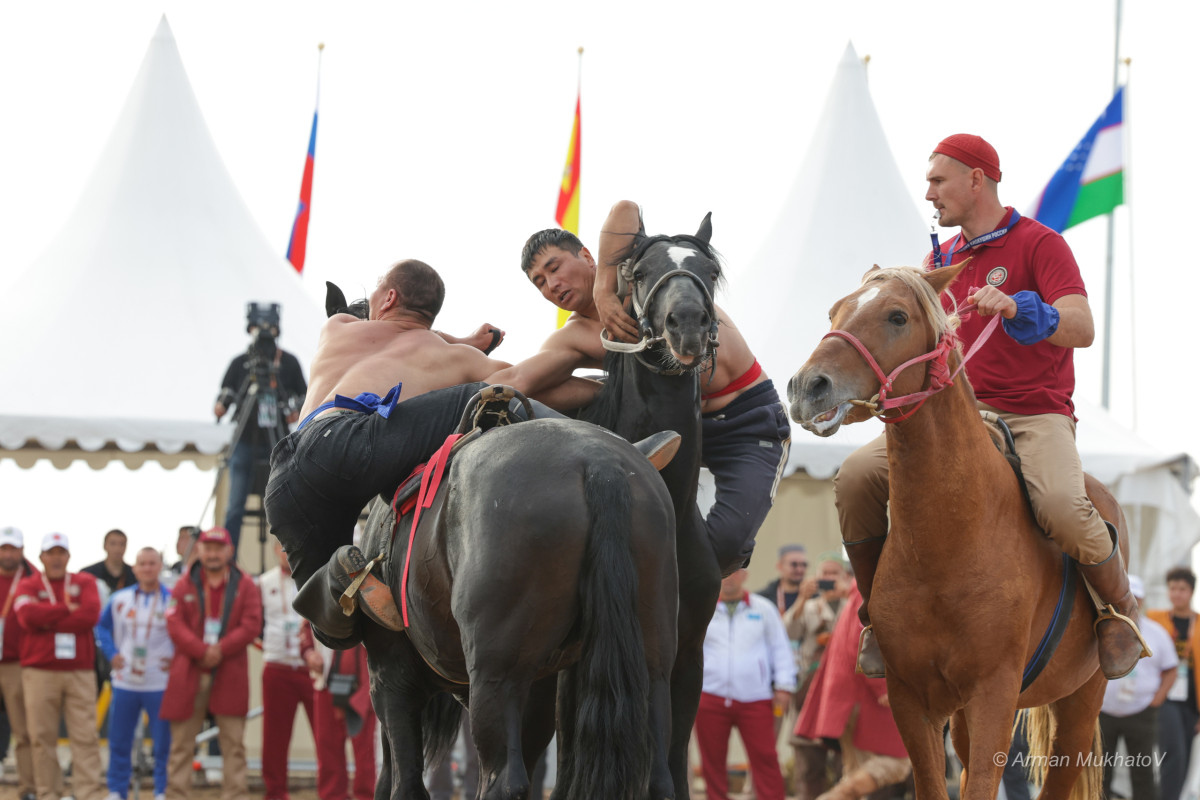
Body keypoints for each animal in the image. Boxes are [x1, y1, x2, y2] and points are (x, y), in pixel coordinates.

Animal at [787, 262, 1113, 800]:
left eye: (897, 316)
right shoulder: (911, 699)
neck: (947, 542)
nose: (805, 387)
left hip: (1081, 701)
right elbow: (932, 781)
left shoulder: (993, 696)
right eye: (834, 311)